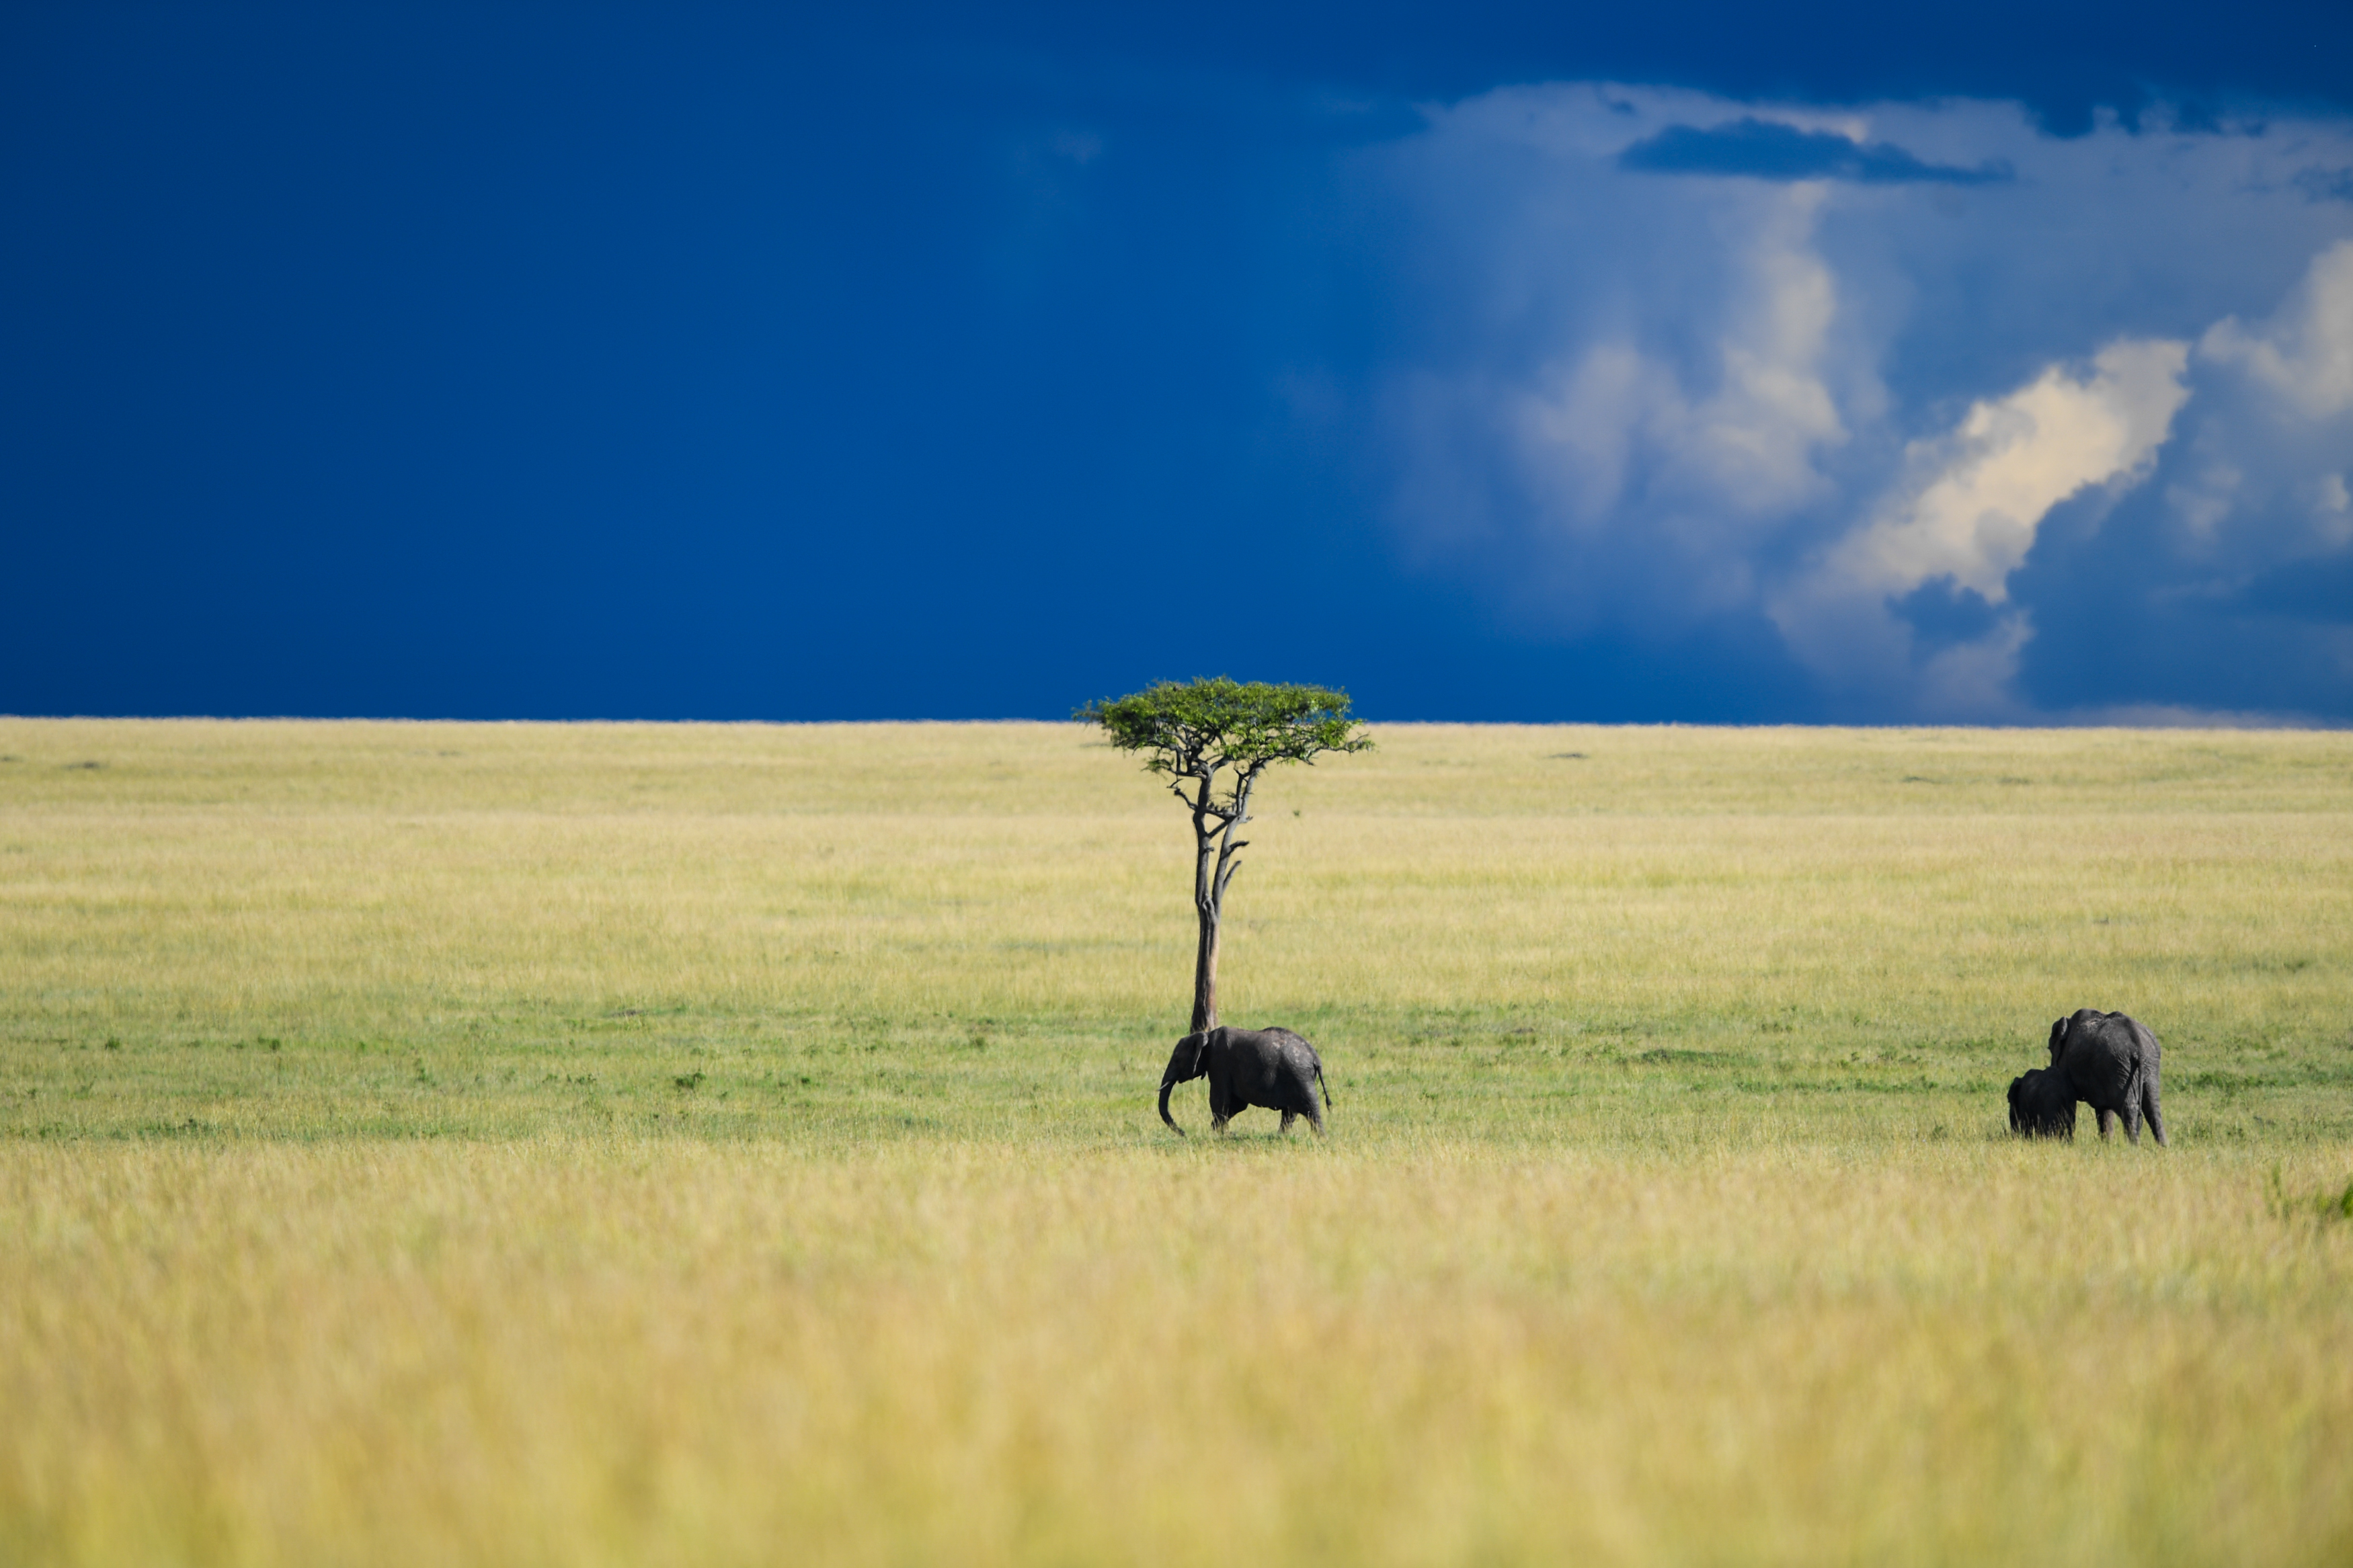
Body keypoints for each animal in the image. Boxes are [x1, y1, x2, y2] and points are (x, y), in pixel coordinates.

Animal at [1162, 1025, 1337, 1132]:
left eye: (1177, 1060)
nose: (1183, 1133)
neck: (1207, 1036)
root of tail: (1315, 1057)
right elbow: (1237, 1104)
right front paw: (1219, 1131)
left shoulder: (1219, 1063)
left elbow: (1219, 1100)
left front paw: (1220, 1134)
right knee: (1290, 1113)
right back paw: (1281, 1137)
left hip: (1299, 1076)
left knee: (1310, 1109)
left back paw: (1321, 1138)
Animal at [2005, 1011, 2165, 1147]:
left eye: (2050, 1048)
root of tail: (2138, 1045)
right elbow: (2104, 1108)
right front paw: (2107, 1145)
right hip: (2147, 1065)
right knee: (2152, 1107)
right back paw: (2162, 1147)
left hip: (2119, 1065)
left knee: (2129, 1108)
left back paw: (2134, 1147)